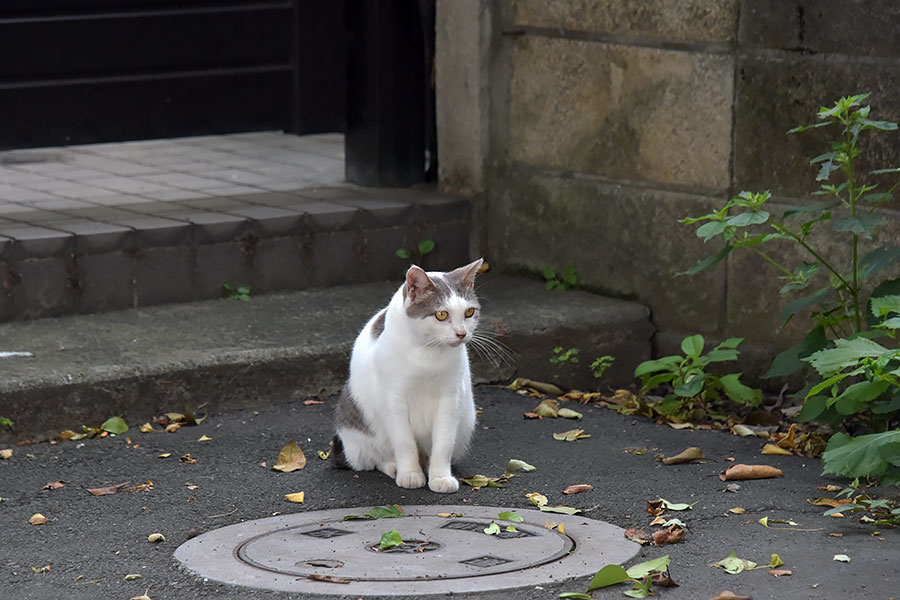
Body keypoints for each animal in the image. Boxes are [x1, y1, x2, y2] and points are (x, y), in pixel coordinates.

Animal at [332, 258, 486, 492]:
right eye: (441, 314)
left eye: (469, 312)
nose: (462, 333)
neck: (428, 353)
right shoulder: (393, 399)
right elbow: (404, 442)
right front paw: (410, 474)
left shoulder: (451, 397)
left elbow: (443, 442)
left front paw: (440, 477)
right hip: (355, 427)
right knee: (374, 460)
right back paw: (395, 467)